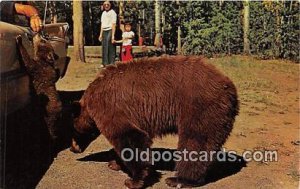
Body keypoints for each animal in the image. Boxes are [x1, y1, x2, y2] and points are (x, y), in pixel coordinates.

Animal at [70, 55, 239, 188]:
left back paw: (179, 179)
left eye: (73, 131)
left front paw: (135, 180)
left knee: (195, 141)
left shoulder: (112, 107)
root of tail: (230, 87)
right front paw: (115, 163)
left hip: (200, 108)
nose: (73, 149)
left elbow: (130, 137)